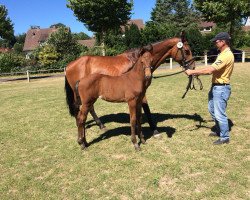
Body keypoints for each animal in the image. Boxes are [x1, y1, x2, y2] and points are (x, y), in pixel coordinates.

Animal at [64, 32, 193, 136]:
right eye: (187, 51)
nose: (192, 67)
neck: (139, 62)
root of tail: (69, 65)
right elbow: (146, 109)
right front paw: (154, 131)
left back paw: (100, 125)